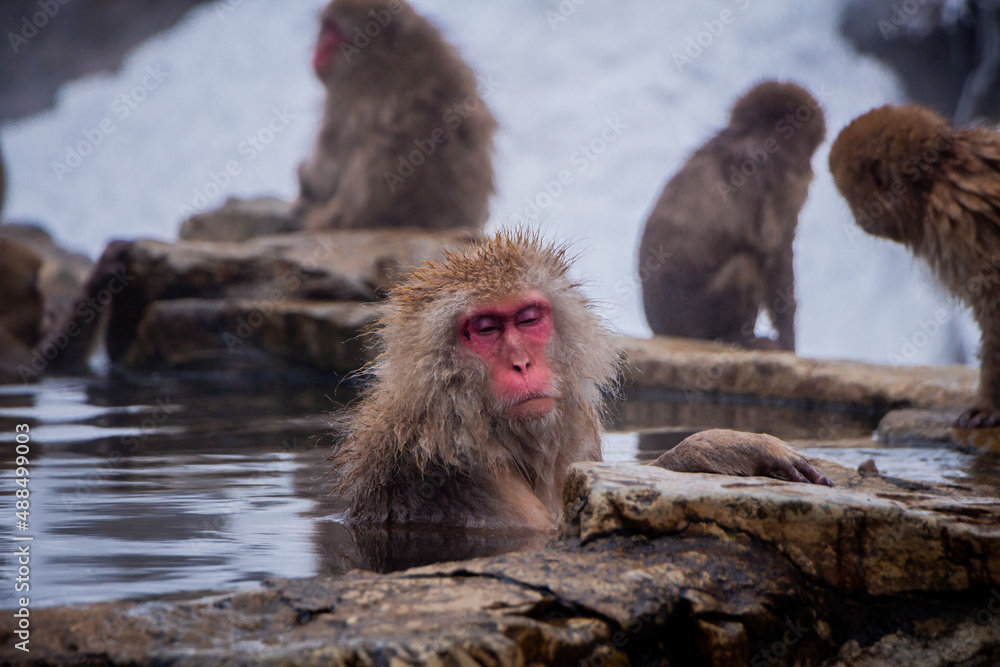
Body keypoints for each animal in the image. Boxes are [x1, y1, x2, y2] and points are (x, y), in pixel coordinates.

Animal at [295, 0, 496, 232]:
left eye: (333, 31)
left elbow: (328, 164)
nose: (319, 50)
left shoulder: (345, 93)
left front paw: (306, 178)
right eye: (325, 28)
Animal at [331, 231, 832, 531]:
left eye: (528, 318)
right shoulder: (450, 474)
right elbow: (553, 532)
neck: (461, 419)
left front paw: (719, 447)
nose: (521, 364)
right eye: (486, 329)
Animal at [638, 81, 826, 351]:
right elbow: (776, 253)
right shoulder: (782, 179)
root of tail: (663, 330)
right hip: (699, 317)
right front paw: (789, 343)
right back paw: (741, 338)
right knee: (744, 266)